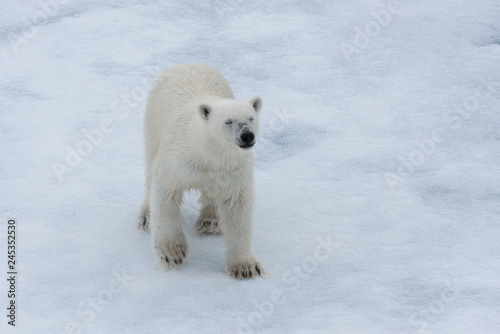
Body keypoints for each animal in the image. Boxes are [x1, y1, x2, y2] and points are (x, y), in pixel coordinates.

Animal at [137, 62, 262, 280]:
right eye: (228, 121)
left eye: (251, 118)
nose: (247, 136)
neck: (207, 151)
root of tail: (187, 63)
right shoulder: (177, 158)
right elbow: (165, 190)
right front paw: (172, 253)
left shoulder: (233, 168)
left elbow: (237, 204)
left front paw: (244, 267)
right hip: (153, 119)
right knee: (150, 162)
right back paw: (146, 216)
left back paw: (209, 221)